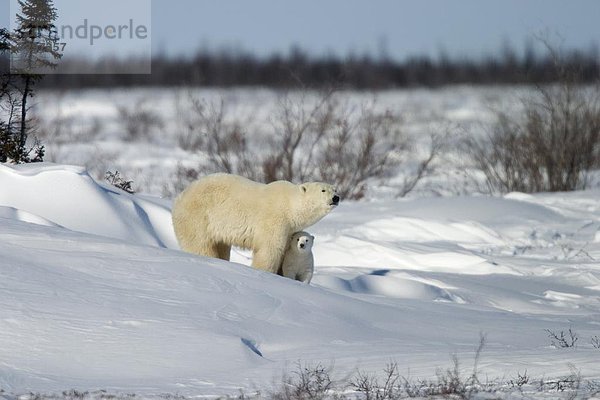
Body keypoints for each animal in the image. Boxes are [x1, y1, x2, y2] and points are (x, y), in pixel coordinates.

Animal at [171, 173, 338, 274]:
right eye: (323, 190)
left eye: (335, 189)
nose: (336, 198)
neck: (290, 205)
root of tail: (180, 197)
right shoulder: (275, 219)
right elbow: (269, 250)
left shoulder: (290, 229)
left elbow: (285, 251)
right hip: (198, 217)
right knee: (199, 244)